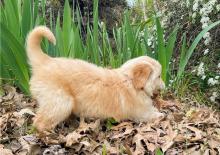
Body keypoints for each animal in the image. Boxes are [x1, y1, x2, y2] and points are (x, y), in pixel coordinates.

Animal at [25, 25, 165, 132]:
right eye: (159, 76)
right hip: (61, 102)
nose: (164, 86)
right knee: (39, 122)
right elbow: (158, 115)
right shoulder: (142, 113)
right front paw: (162, 114)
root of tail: (46, 61)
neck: (131, 81)